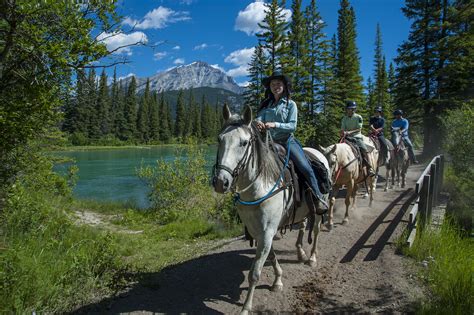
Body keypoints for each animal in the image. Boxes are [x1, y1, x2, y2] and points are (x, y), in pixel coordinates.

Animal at [213, 105, 332, 314]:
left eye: (244, 143)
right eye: (220, 139)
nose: (221, 181)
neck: (258, 188)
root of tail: (317, 153)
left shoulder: (267, 231)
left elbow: (255, 273)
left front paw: (246, 307)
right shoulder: (259, 231)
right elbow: (271, 256)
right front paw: (277, 281)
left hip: (319, 209)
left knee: (316, 231)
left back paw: (311, 258)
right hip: (301, 210)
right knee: (302, 226)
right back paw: (300, 253)